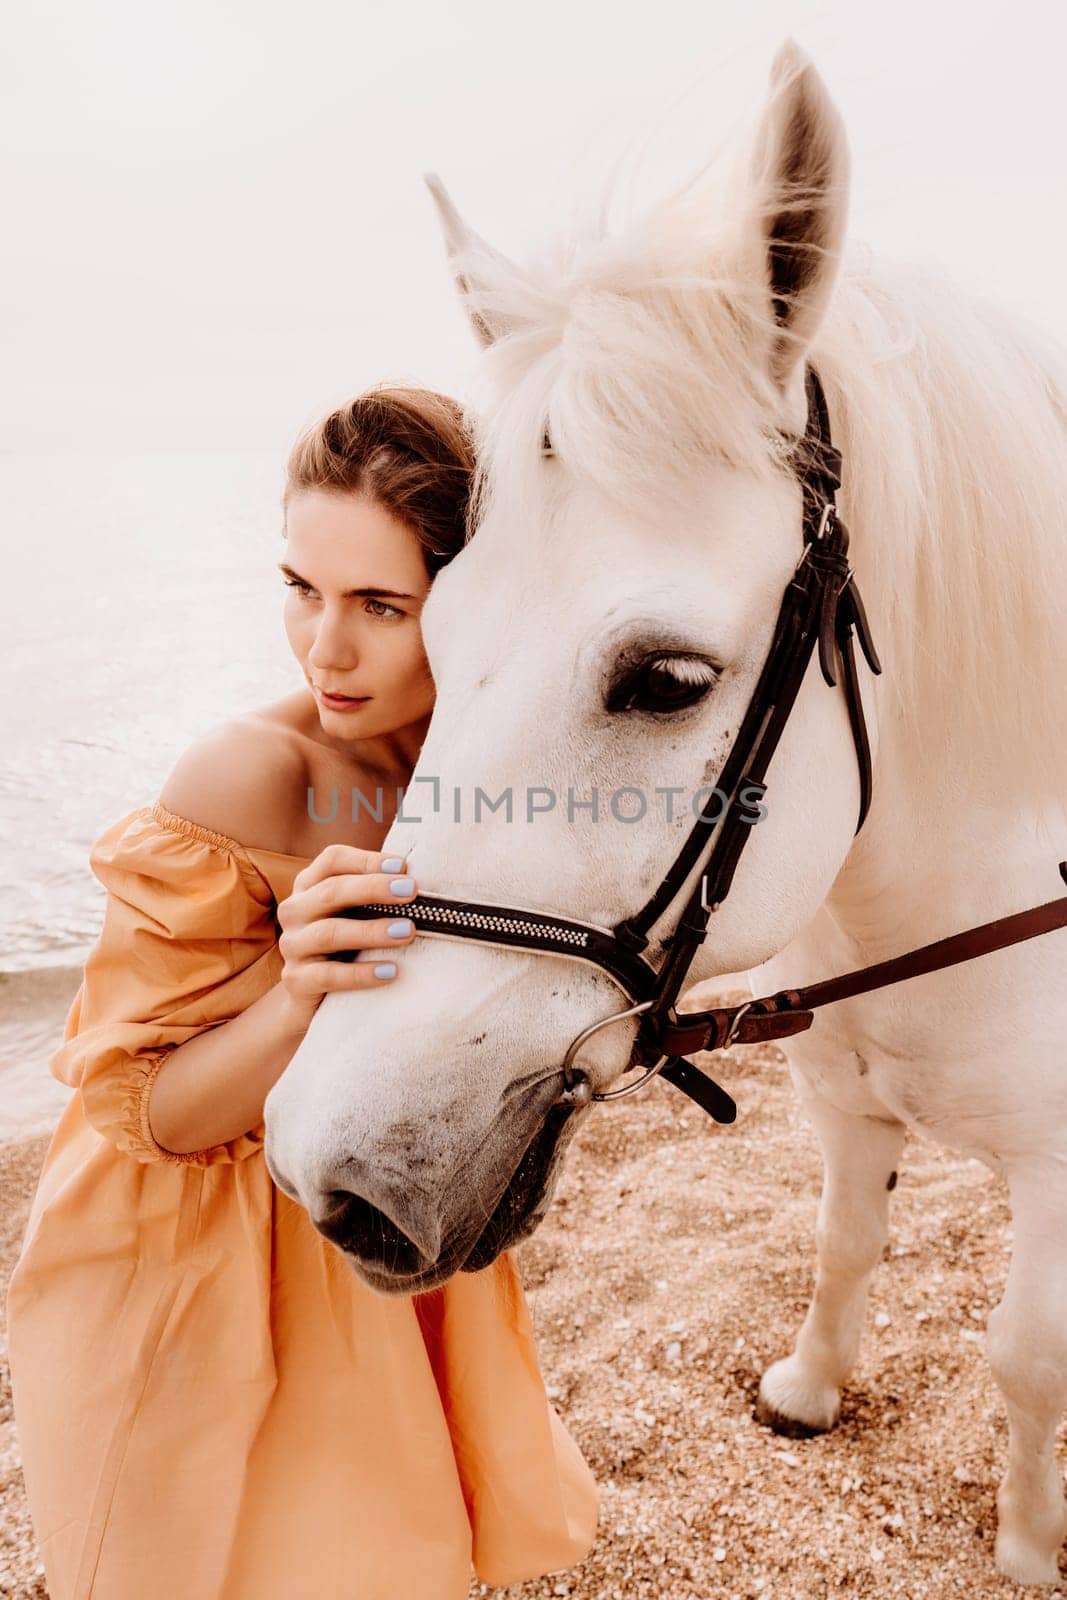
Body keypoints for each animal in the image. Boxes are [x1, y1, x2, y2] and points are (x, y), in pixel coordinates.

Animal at [267, 40, 1067, 1587]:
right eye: (432, 629)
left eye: (666, 680)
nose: (328, 1176)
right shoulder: (840, 1100)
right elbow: (839, 1248)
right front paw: (808, 1393)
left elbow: (1024, 1357)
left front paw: (1024, 1542)